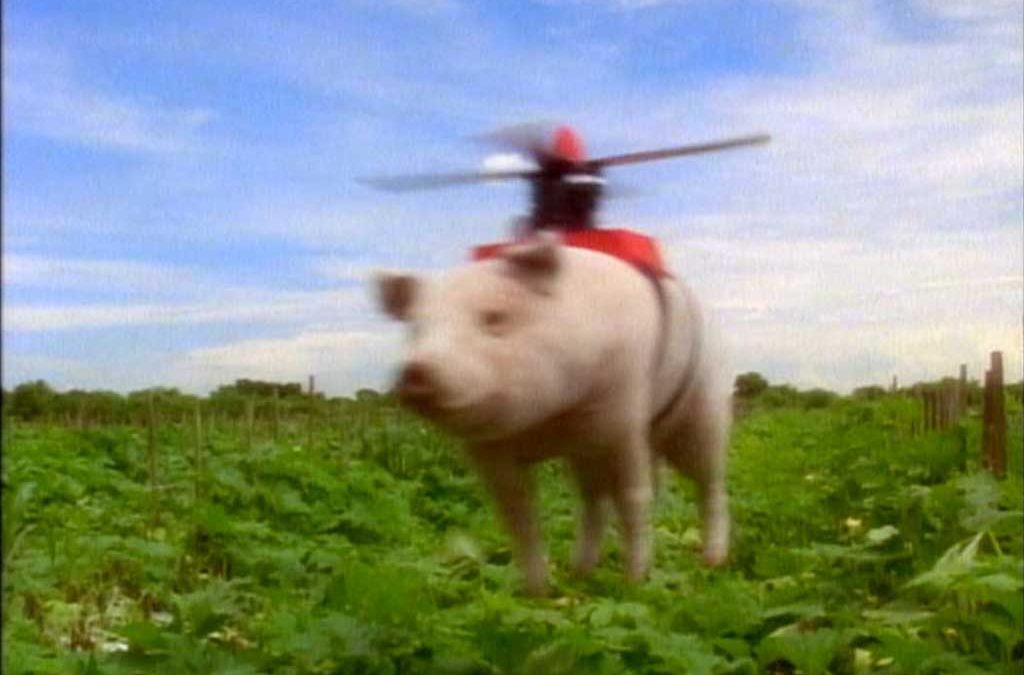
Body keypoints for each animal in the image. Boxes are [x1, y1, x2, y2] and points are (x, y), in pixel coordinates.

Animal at [374, 234, 730, 595]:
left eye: (494, 317)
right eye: (416, 329)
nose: (416, 370)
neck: (549, 423)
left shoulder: (623, 420)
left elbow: (632, 498)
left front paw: (633, 583)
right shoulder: (490, 452)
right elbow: (519, 517)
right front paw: (537, 594)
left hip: (703, 413)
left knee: (710, 484)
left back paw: (713, 560)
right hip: (589, 457)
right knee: (592, 502)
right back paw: (579, 572)